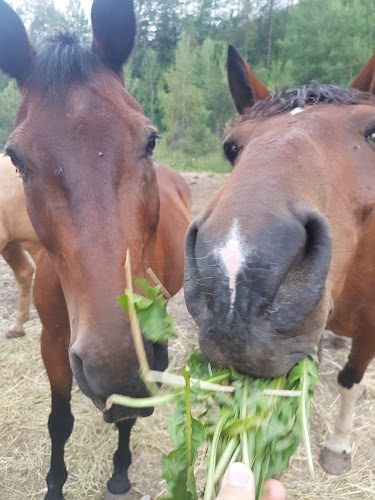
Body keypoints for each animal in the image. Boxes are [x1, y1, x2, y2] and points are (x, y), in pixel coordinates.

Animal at [0, 0, 191, 500]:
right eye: (16, 159)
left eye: (150, 139)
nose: (116, 362)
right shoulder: (53, 342)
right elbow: (59, 421)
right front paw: (54, 485)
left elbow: (126, 418)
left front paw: (120, 472)